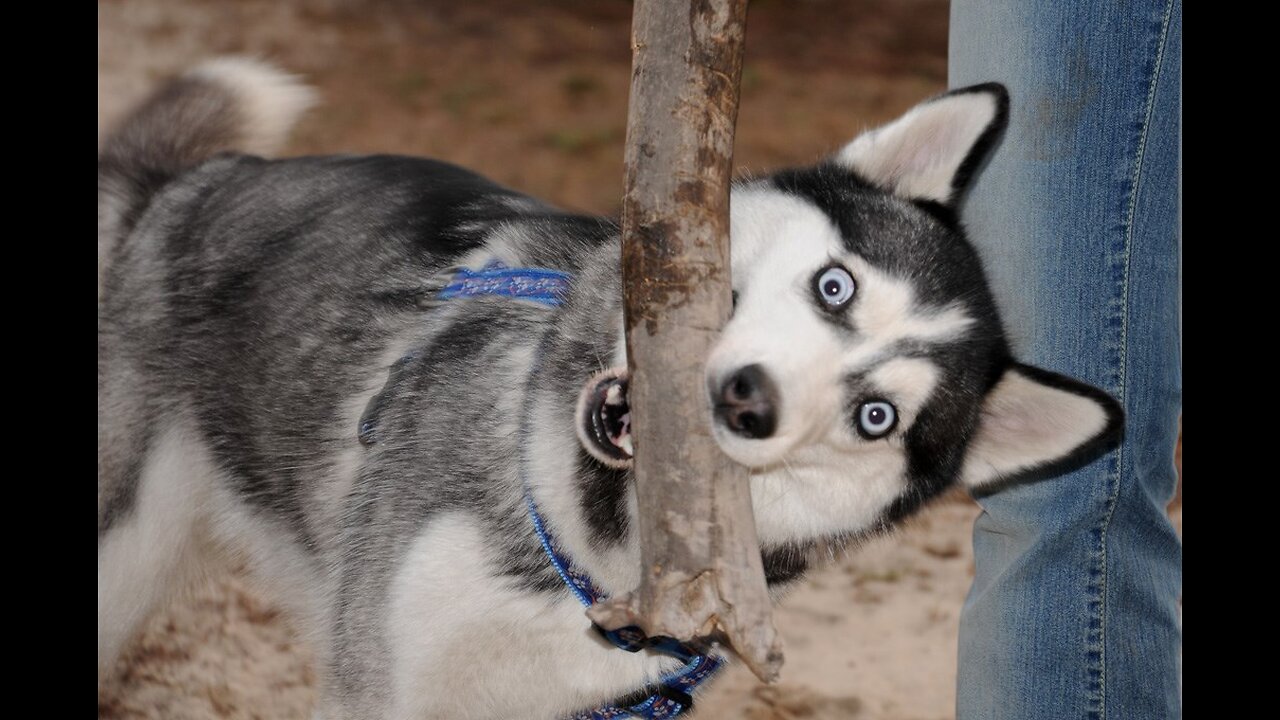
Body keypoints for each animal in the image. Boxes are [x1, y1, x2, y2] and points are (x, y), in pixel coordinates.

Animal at [97, 61, 1121, 717]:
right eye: (837, 286)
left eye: (877, 417)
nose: (748, 400)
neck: (583, 568)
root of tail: (186, 186)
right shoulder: (378, 685)